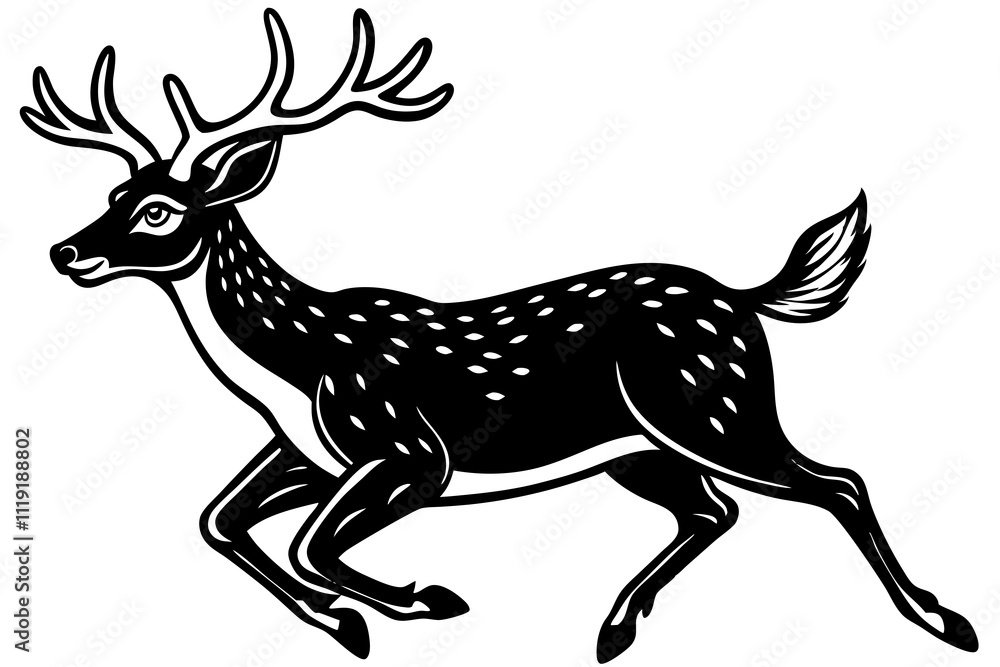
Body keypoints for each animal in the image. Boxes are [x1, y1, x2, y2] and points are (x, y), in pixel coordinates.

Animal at [22, 8, 978, 662]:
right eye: (113, 195)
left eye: (157, 209)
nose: (65, 251)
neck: (295, 363)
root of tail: (743, 295)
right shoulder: (310, 453)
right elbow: (219, 521)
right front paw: (347, 619)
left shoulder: (410, 450)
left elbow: (311, 541)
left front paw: (412, 601)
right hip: (639, 445)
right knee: (716, 507)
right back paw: (614, 627)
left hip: (713, 403)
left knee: (838, 482)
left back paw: (944, 619)